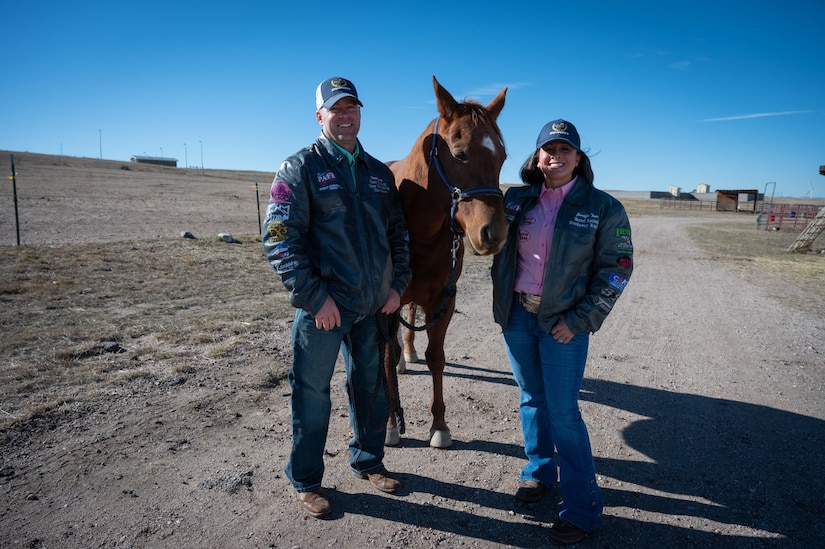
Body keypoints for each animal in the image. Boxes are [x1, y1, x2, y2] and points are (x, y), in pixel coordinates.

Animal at [386, 75, 508, 448]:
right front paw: (390, 424)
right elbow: (384, 356)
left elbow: (436, 359)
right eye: (460, 153)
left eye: (502, 157)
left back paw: (409, 352)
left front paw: (439, 425)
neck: (417, 228)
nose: (495, 233)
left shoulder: (444, 300)